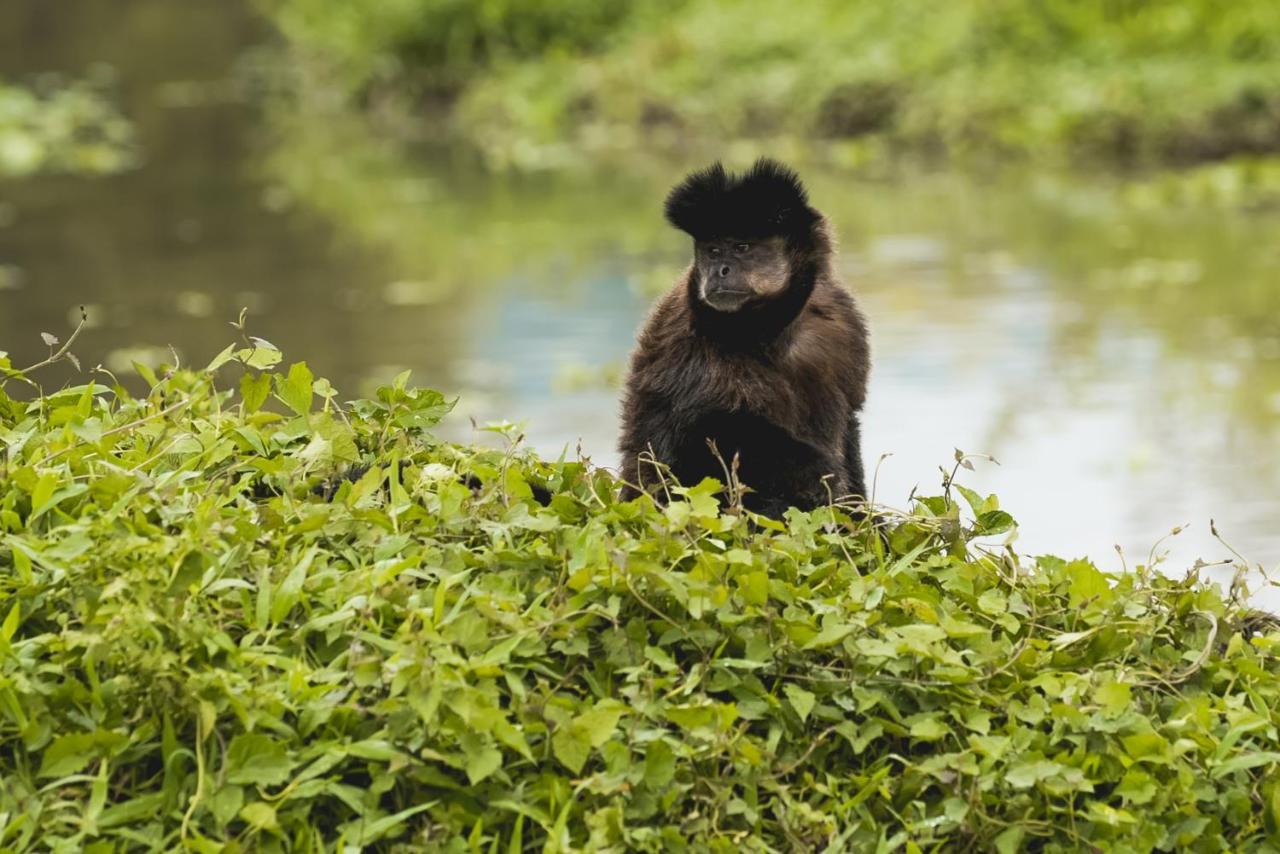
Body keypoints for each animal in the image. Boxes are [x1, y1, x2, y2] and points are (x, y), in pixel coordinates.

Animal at [616, 160, 870, 522]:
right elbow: (701, 430)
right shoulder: (690, 333)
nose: (719, 270)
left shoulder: (843, 324)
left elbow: (849, 417)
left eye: (741, 248)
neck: (775, 332)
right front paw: (820, 474)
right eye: (713, 251)